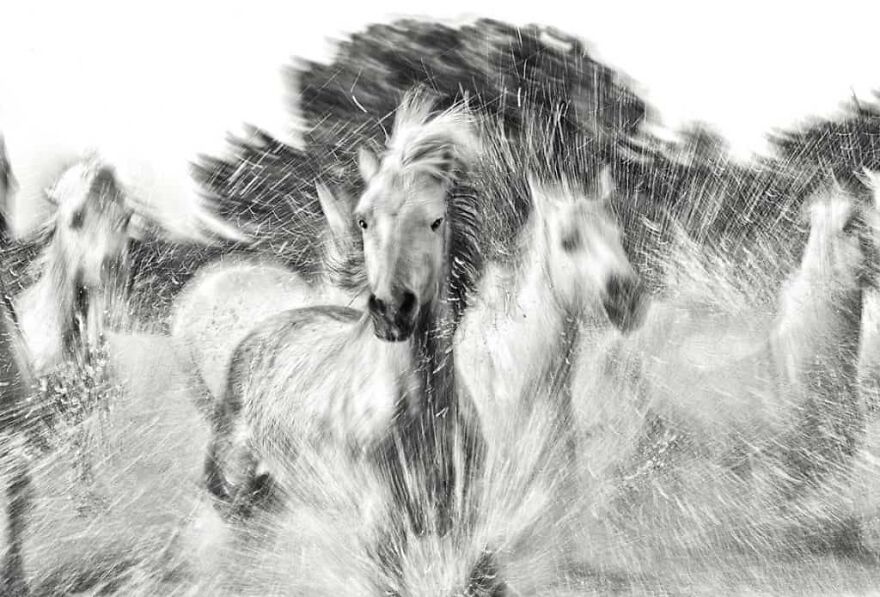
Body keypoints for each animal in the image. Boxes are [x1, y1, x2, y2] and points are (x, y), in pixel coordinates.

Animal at [204, 91, 495, 593]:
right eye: (363, 220)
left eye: (436, 220)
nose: (392, 310)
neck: (419, 421)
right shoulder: (380, 542)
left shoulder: (461, 530)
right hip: (238, 495)